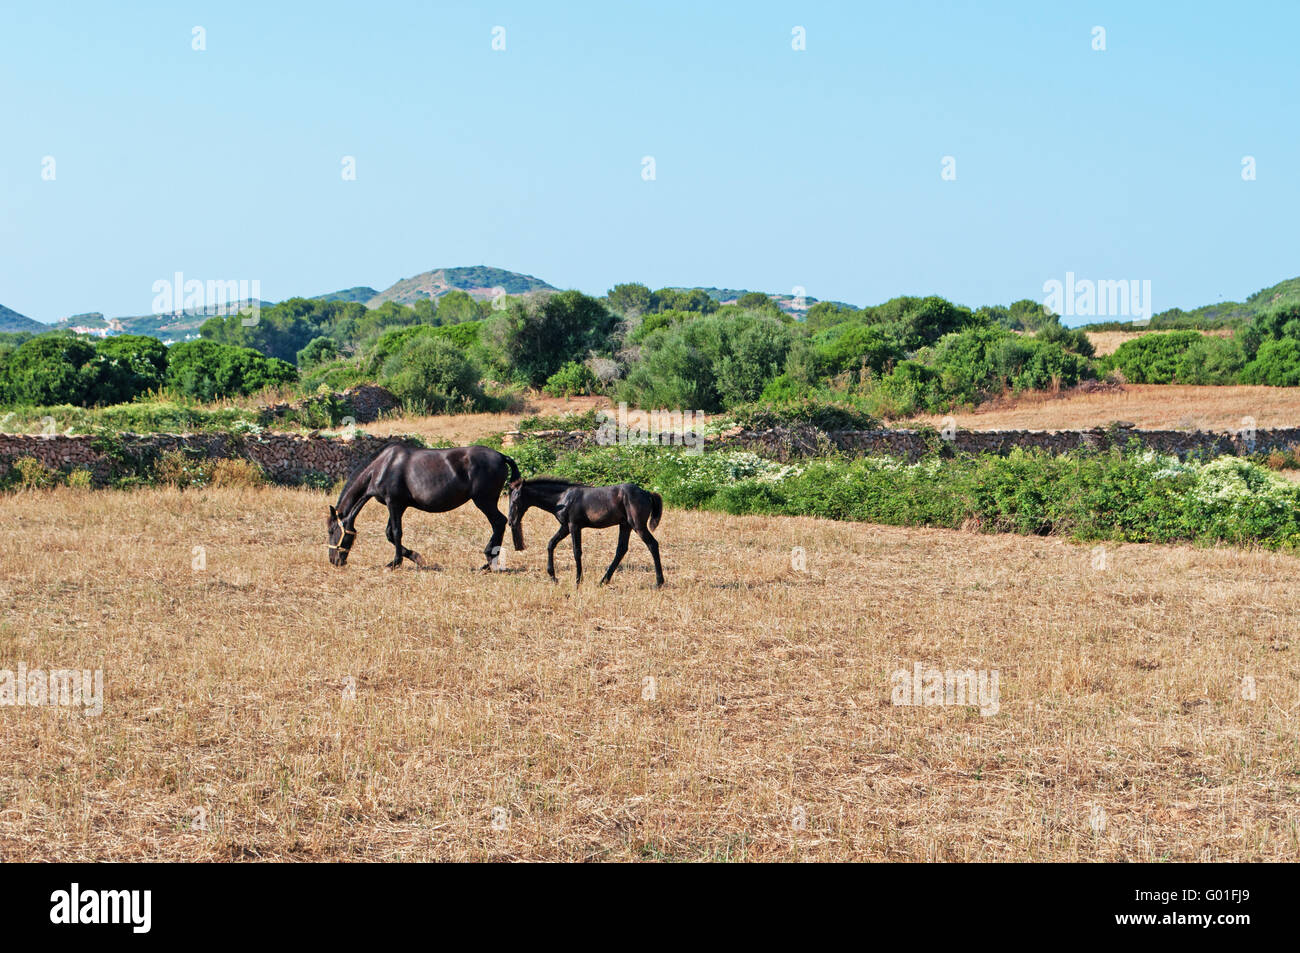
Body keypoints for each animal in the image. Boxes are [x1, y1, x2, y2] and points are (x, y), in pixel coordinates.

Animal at [327, 442, 520, 569]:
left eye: (331, 531)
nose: (334, 561)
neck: (382, 466)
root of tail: (502, 456)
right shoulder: (399, 506)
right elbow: (390, 534)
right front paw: (416, 558)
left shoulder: (393, 503)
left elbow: (396, 533)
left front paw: (395, 563)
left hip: (484, 502)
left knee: (499, 522)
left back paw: (489, 559)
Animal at [504, 475, 665, 587]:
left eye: (516, 500)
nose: (511, 522)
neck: (562, 498)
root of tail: (647, 493)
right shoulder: (565, 527)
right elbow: (551, 544)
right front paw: (553, 577)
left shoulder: (574, 526)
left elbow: (577, 552)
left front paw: (578, 580)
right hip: (625, 525)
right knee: (621, 549)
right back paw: (603, 580)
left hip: (638, 525)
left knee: (652, 544)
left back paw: (659, 582)